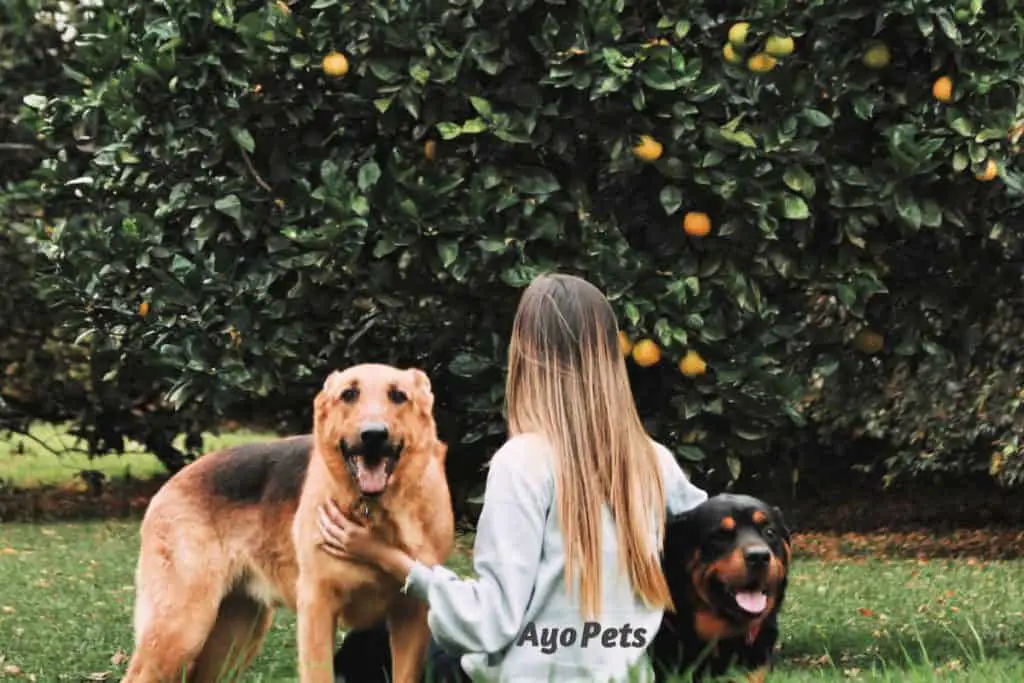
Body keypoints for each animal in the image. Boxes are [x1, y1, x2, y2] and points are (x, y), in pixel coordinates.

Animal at [121, 366, 454, 683]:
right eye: (349, 394)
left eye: (398, 396)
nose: (373, 435)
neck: (375, 516)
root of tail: (170, 484)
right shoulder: (318, 609)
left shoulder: (411, 617)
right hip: (183, 629)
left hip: (234, 639)